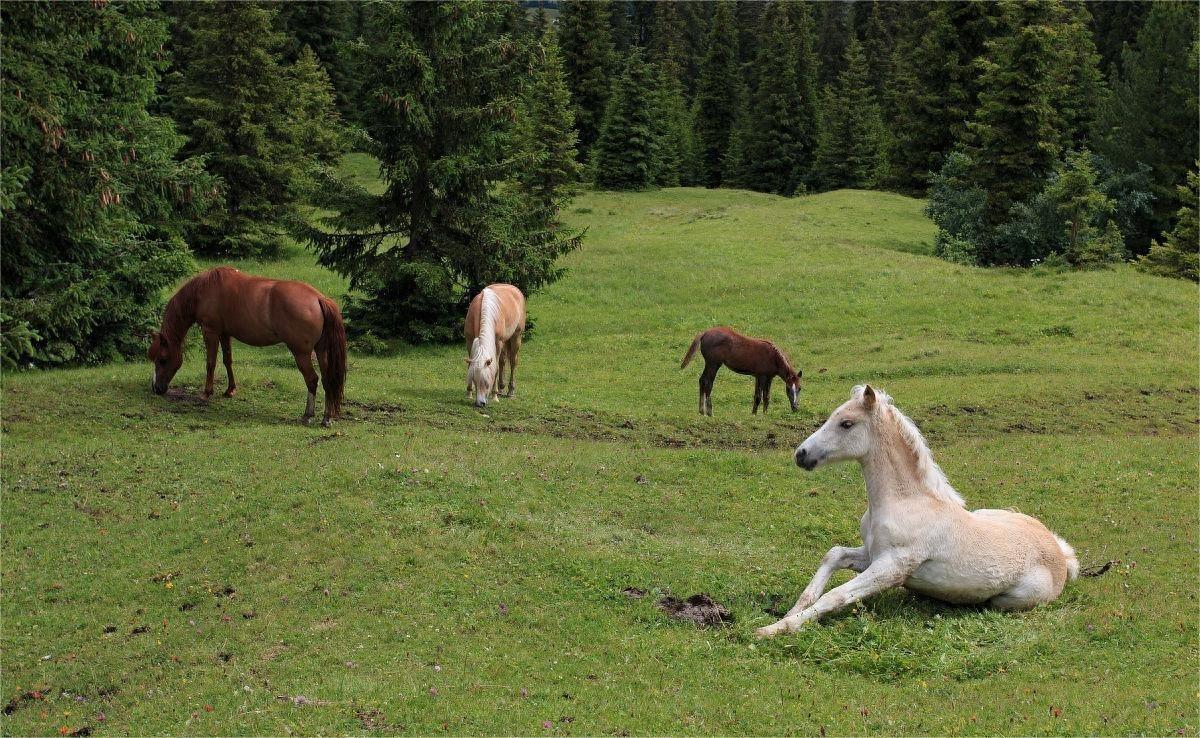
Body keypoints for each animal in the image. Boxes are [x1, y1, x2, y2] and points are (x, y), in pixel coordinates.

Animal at [147, 267, 348, 427]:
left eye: (162, 359)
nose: (156, 389)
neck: (205, 290)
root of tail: (319, 298)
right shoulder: (224, 333)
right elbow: (227, 360)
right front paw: (230, 390)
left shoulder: (210, 331)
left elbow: (211, 363)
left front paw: (206, 393)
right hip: (322, 352)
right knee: (328, 379)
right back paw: (327, 417)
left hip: (301, 353)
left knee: (312, 380)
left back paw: (308, 415)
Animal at [753, 384, 1084, 638]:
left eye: (846, 423)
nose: (801, 455)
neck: (904, 502)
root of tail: (1062, 554)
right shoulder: (872, 554)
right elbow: (833, 554)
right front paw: (790, 612)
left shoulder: (892, 566)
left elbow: (837, 595)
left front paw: (776, 630)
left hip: (1011, 600)